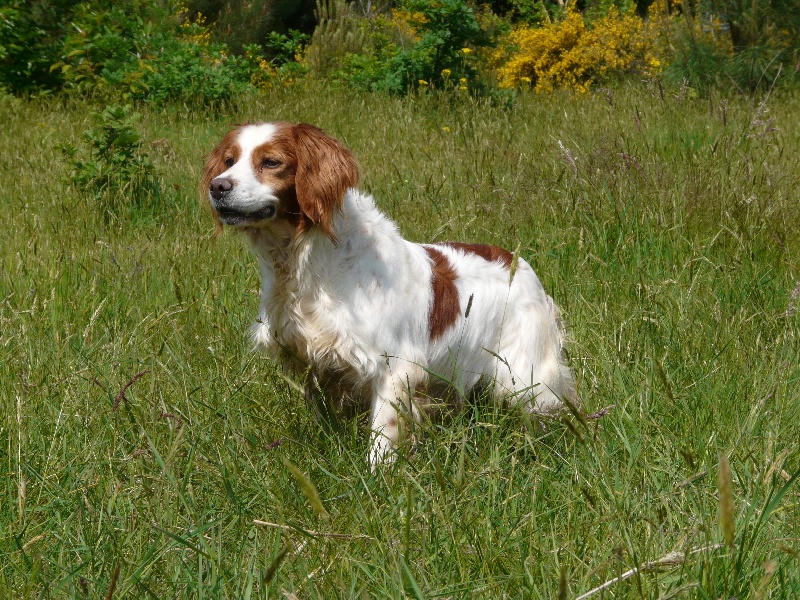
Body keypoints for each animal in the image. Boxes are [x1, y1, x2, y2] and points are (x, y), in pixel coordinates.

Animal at [200, 122, 576, 466]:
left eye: (271, 162)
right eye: (229, 160)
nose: (218, 186)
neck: (306, 264)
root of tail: (516, 260)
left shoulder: (394, 368)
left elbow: (382, 439)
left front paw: (375, 478)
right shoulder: (315, 366)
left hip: (524, 377)